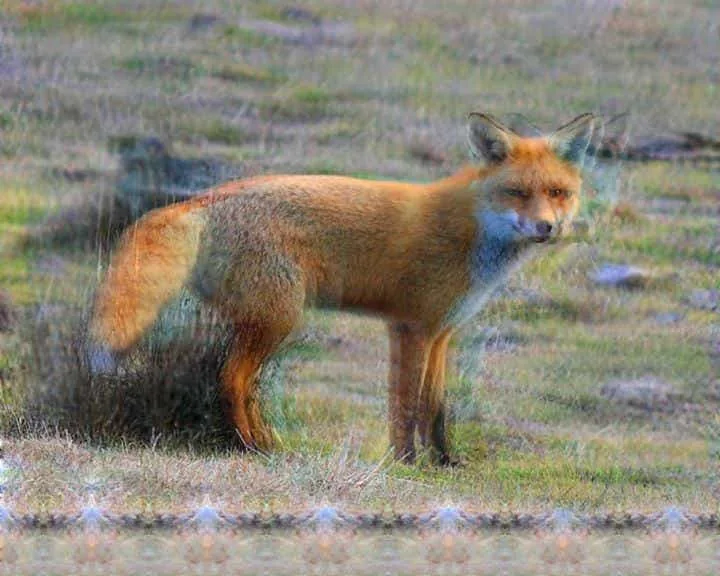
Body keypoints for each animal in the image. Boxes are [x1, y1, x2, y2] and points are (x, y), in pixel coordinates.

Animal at [89, 112, 595, 465]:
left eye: (557, 192)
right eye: (517, 193)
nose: (547, 228)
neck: (473, 234)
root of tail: (202, 200)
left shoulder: (442, 333)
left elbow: (435, 407)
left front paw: (444, 462)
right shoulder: (410, 328)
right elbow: (405, 405)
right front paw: (404, 463)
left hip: (267, 324)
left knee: (245, 385)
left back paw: (268, 441)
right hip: (279, 319)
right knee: (230, 379)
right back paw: (252, 447)